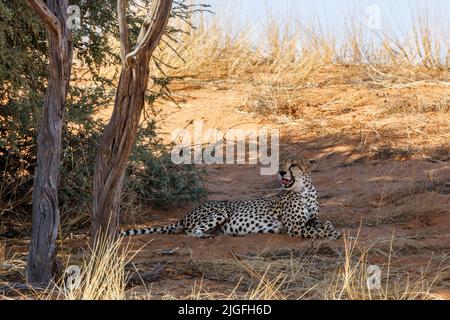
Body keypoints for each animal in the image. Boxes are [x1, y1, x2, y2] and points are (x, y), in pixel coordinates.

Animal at [119, 156, 342, 239]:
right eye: (282, 163)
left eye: (293, 164)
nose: (280, 172)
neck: (304, 190)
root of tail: (185, 214)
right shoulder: (295, 227)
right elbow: (316, 231)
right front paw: (332, 234)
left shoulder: (312, 219)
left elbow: (324, 223)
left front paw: (331, 229)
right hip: (221, 211)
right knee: (190, 232)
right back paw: (205, 235)